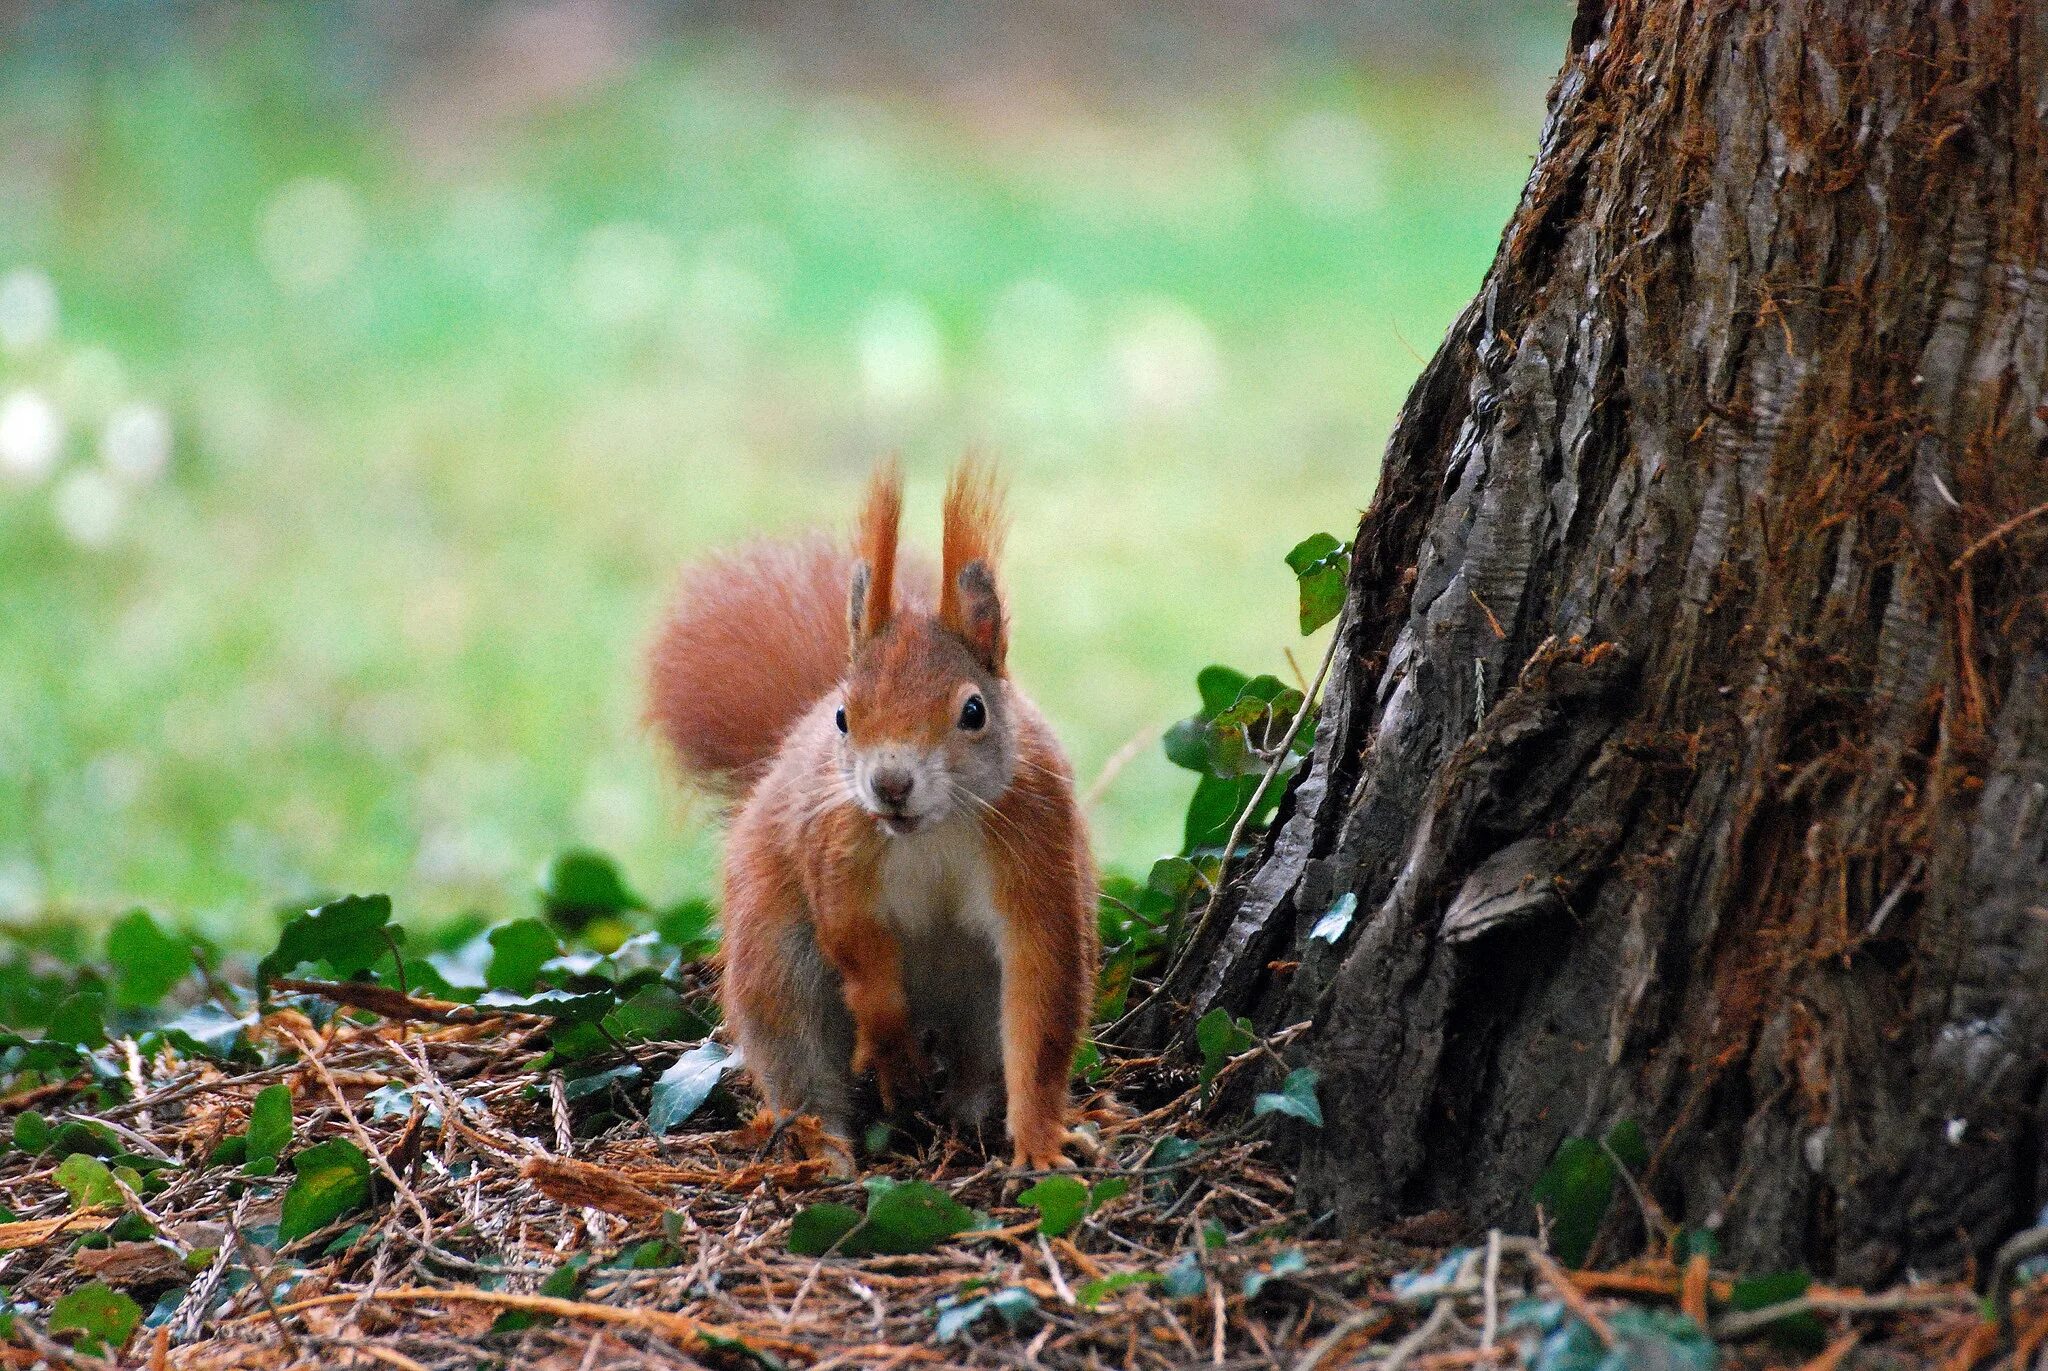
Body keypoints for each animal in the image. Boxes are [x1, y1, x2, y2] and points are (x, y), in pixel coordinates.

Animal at [651, 459, 1105, 1164]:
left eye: (973, 711)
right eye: (843, 716)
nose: (889, 784)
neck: (932, 831)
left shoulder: (1037, 839)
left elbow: (1043, 1002)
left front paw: (1039, 1138)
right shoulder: (837, 848)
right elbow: (858, 953)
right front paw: (892, 1051)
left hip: (977, 1000)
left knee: (981, 1059)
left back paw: (970, 1114)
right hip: (778, 969)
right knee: (803, 1068)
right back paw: (831, 1147)